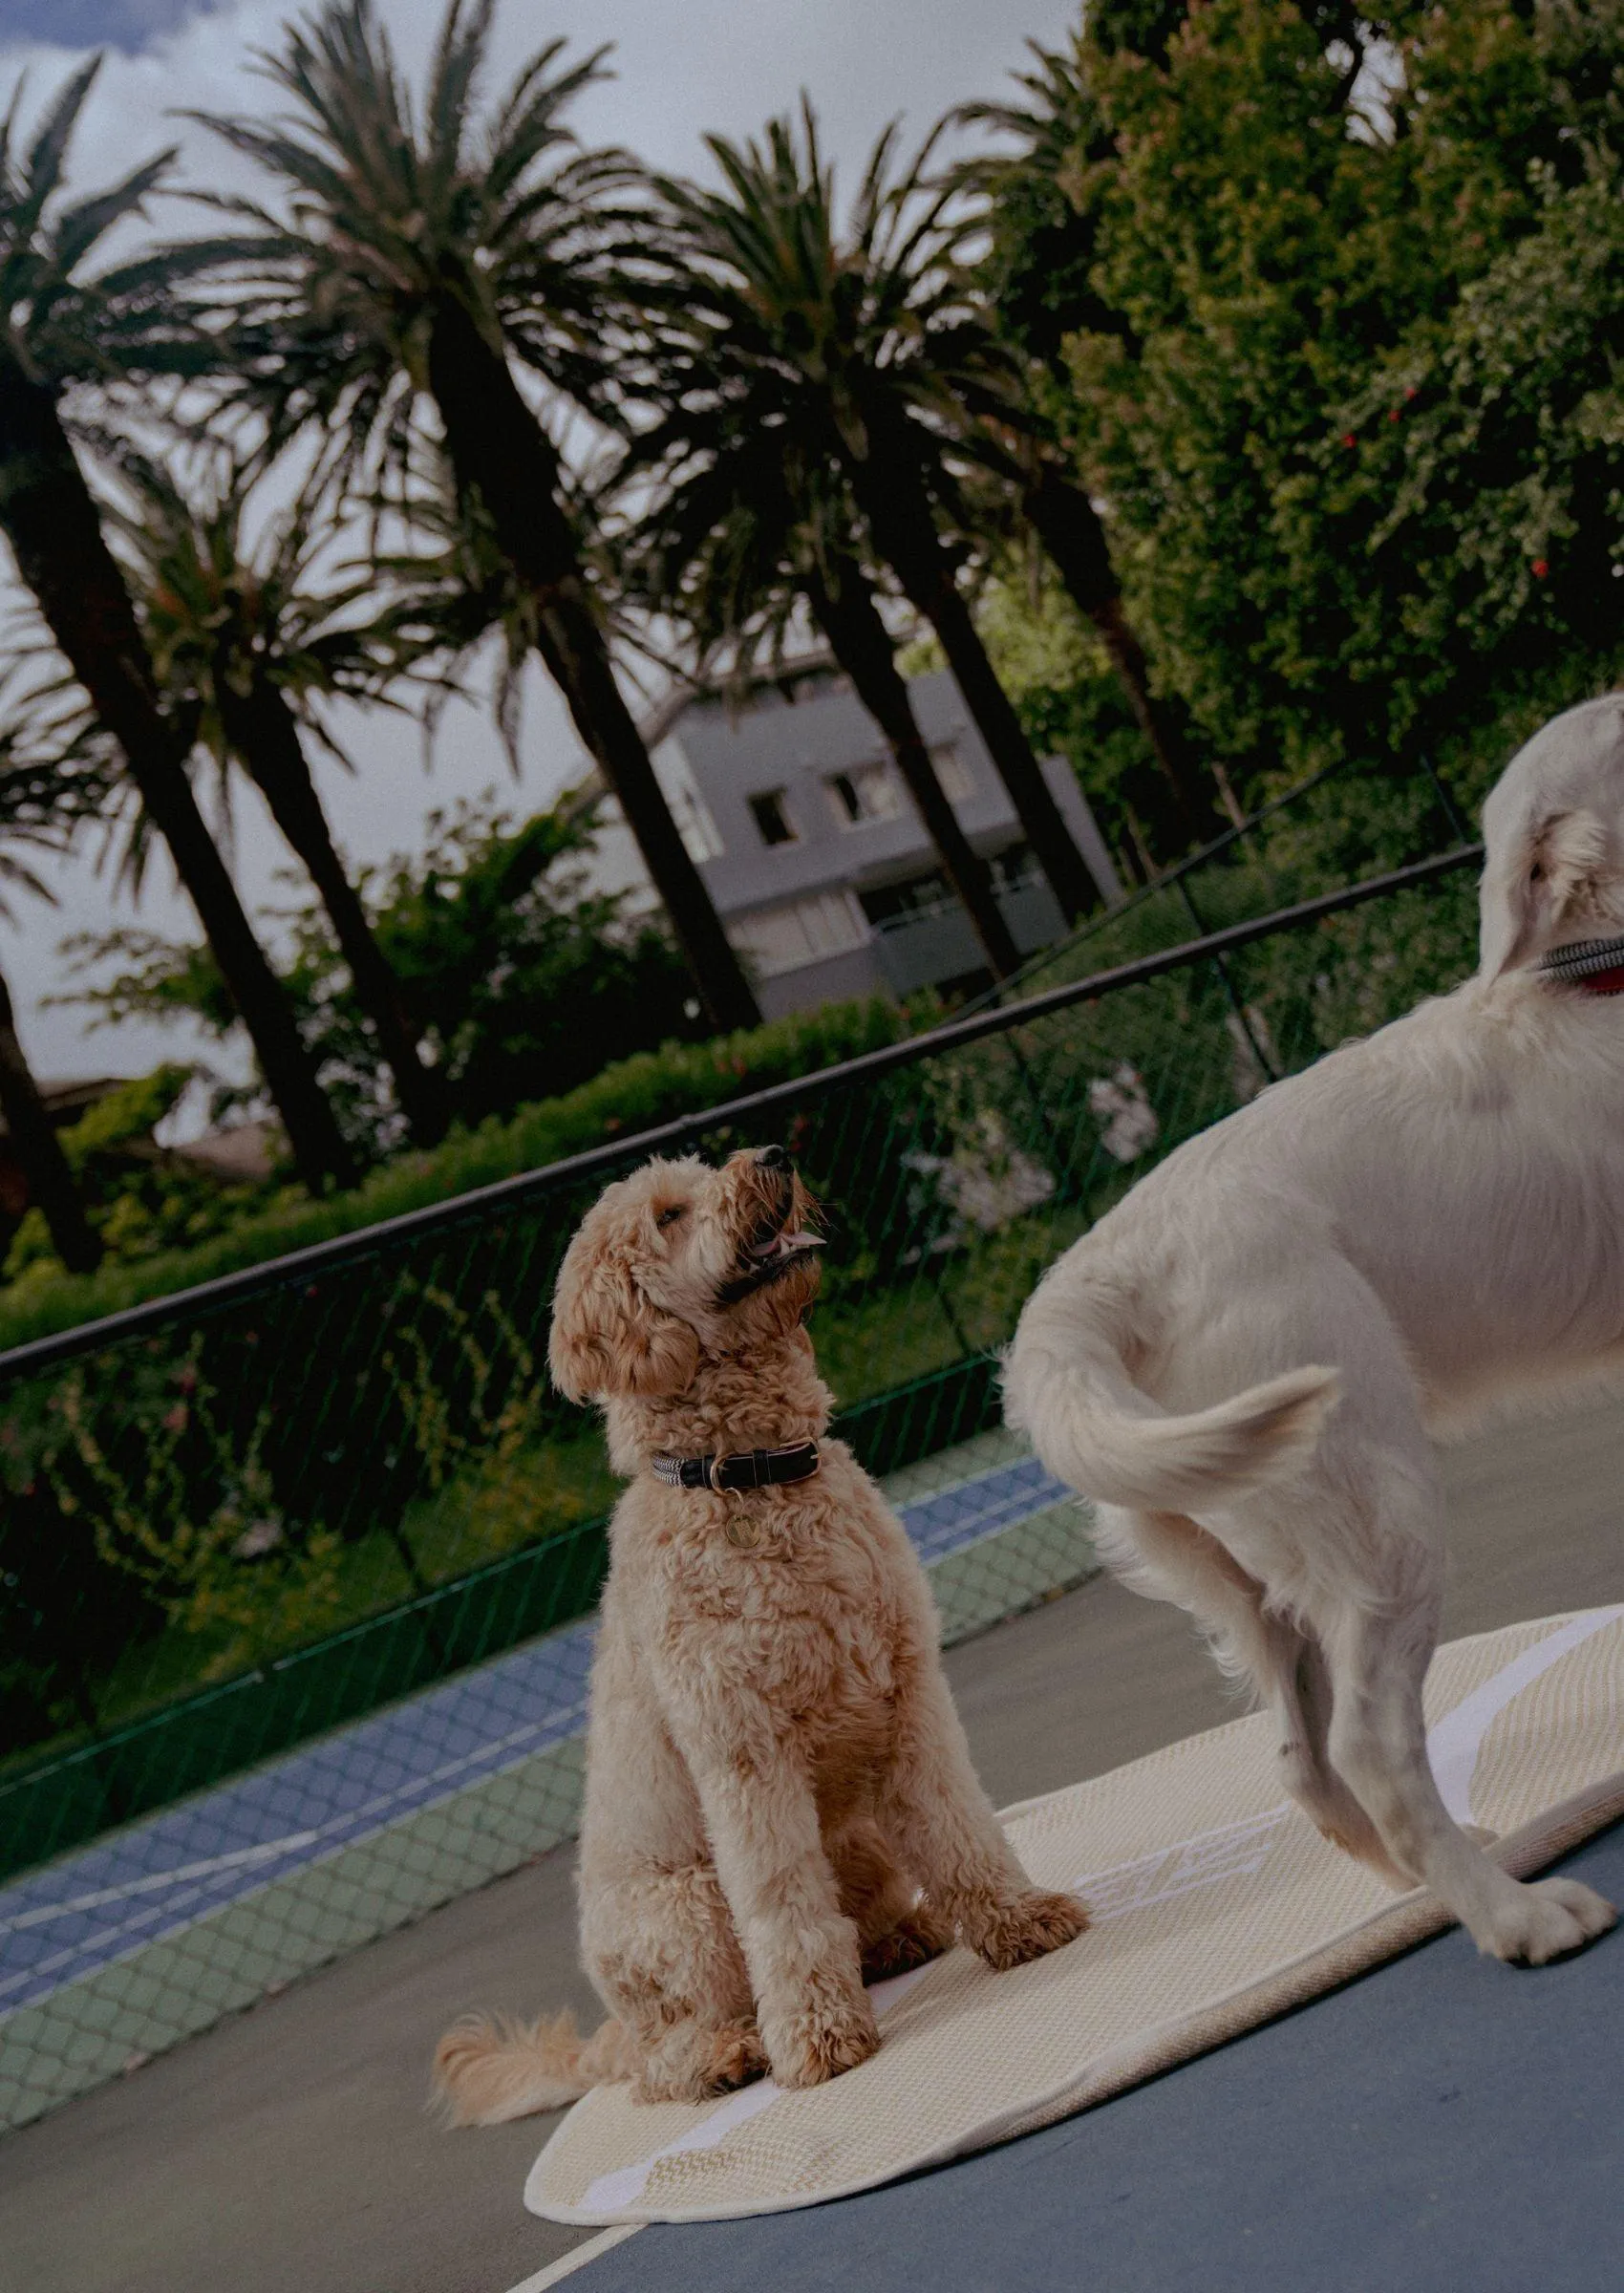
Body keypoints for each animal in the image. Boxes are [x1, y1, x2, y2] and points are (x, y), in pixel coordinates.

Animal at [999, 701, 1624, 1972]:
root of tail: (1093, 1277)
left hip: (1252, 1569)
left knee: (1300, 1763)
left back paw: (1436, 1882)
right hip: (1382, 1519)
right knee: (1369, 1751)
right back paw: (1516, 1915)